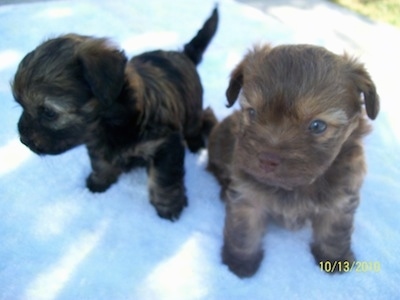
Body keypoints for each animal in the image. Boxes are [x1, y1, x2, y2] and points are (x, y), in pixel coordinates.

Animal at [12, 8, 219, 221]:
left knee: (196, 125)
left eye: (49, 112)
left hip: (193, 110)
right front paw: (99, 182)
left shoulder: (165, 145)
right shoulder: (96, 141)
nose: (23, 139)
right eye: (20, 104)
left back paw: (196, 145)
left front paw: (168, 206)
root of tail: (183, 55)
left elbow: (164, 178)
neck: (113, 122)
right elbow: (100, 162)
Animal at [208, 44, 380, 276]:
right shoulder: (247, 195)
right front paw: (240, 262)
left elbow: (334, 230)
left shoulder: (341, 197)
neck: (296, 187)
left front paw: (334, 258)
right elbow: (244, 230)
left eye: (318, 126)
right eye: (252, 113)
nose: (267, 160)